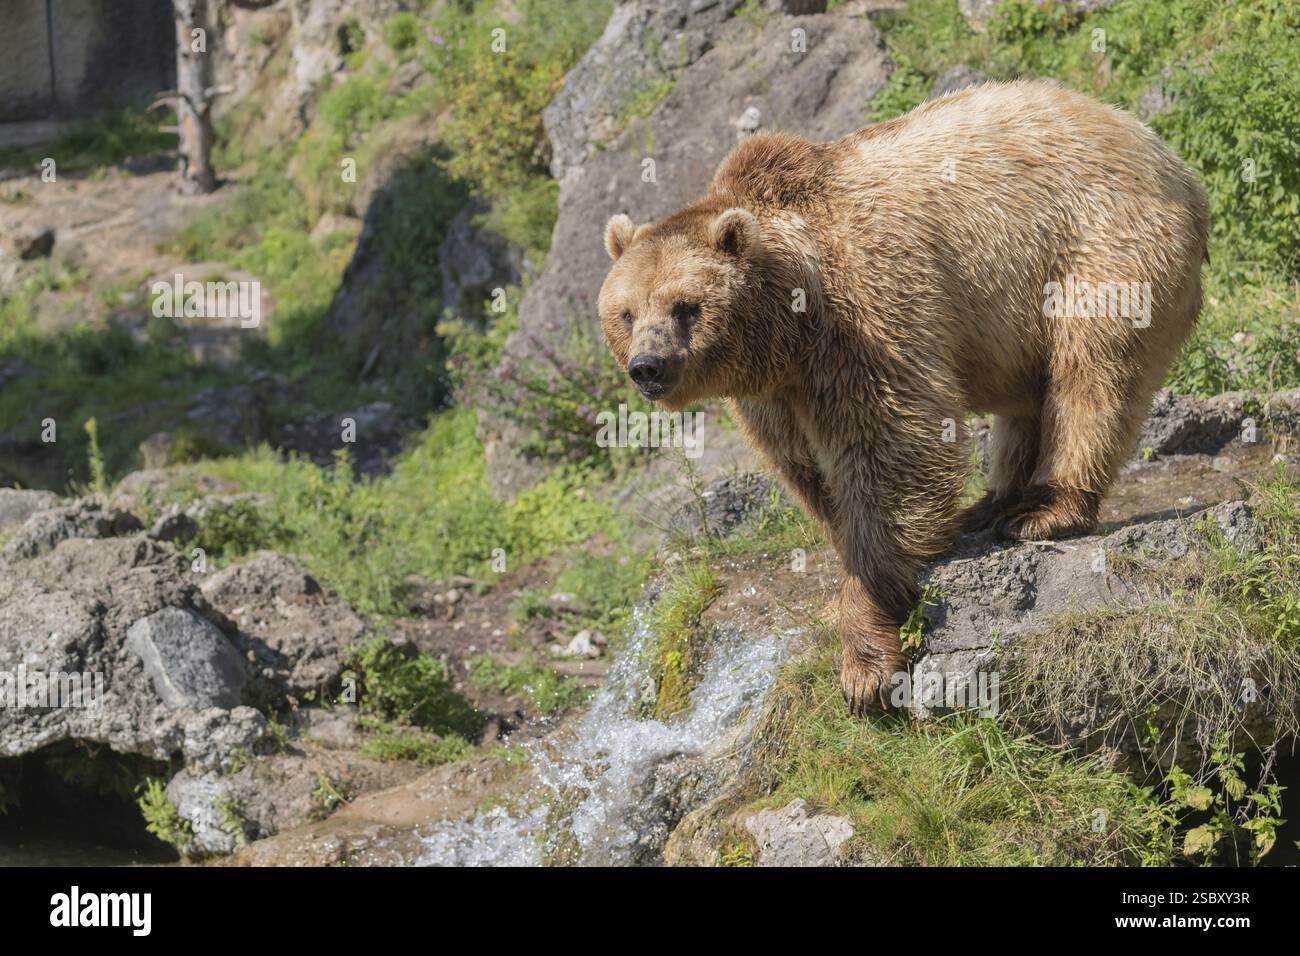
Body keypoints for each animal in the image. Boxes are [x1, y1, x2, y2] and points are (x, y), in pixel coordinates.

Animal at [597, 79, 1209, 713]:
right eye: (625, 312)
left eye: (685, 306)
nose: (647, 367)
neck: (790, 323)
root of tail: (1162, 152)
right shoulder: (776, 391)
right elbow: (810, 472)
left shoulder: (864, 316)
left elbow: (889, 452)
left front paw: (864, 660)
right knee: (1028, 399)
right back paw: (990, 502)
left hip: (1098, 249)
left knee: (1090, 373)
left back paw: (1044, 510)